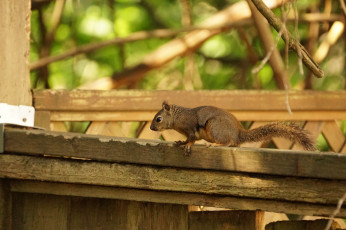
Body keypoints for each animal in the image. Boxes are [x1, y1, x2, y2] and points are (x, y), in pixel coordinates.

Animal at [149, 102, 316, 155]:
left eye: (159, 119)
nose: (151, 128)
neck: (178, 118)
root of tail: (238, 134)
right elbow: (185, 139)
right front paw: (181, 142)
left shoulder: (190, 128)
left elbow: (192, 138)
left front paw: (188, 145)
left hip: (214, 127)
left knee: (228, 142)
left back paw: (214, 144)